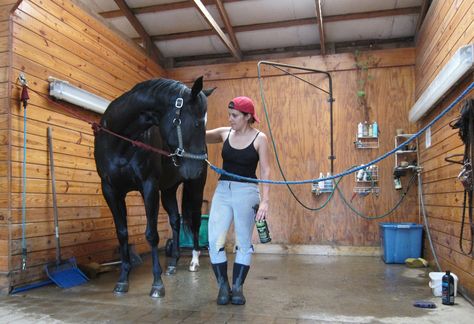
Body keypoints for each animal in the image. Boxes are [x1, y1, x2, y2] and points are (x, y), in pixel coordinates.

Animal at [94, 76, 213, 298]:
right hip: (167, 191)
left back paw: (193, 261)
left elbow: (151, 234)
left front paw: (157, 284)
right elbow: (122, 233)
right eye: (197, 123)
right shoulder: (111, 190)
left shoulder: (148, 186)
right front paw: (122, 280)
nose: (199, 165)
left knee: (194, 222)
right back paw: (173, 263)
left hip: (194, 189)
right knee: (175, 220)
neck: (120, 140)